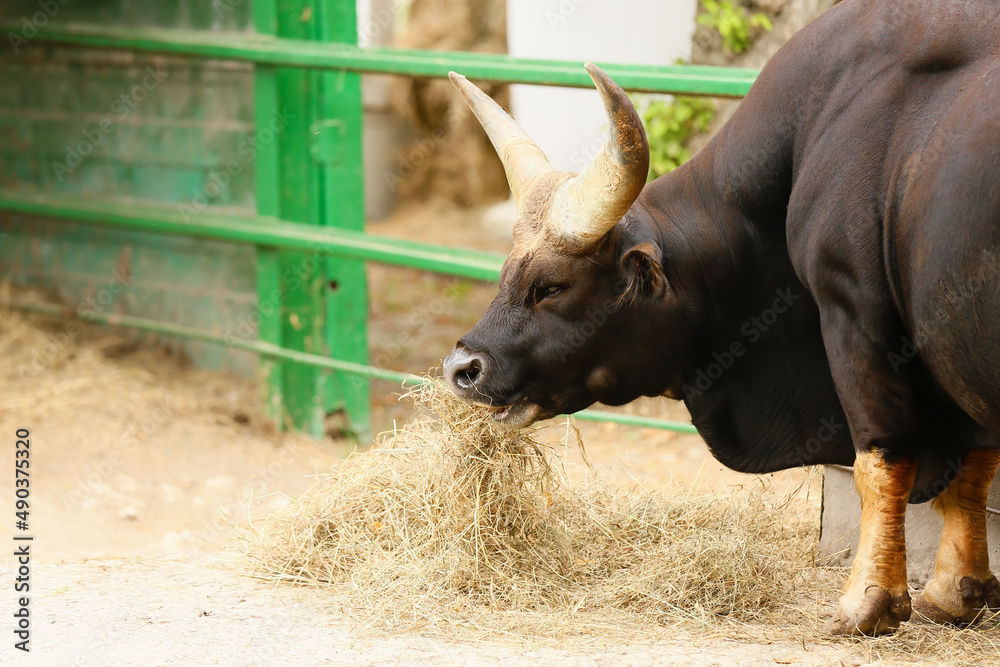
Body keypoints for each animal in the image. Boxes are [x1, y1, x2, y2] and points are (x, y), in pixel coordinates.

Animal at [442, 0, 1000, 636]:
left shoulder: (855, 318)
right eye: (506, 271)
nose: (462, 368)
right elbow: (975, 463)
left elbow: (881, 463)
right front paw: (958, 591)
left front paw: (867, 603)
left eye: (550, 286)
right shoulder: (953, 360)